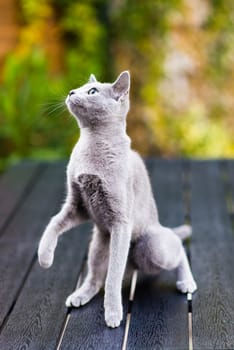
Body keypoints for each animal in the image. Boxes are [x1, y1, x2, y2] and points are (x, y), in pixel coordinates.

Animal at [37, 70, 197, 328]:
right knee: (94, 275)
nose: (71, 92)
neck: (91, 145)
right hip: (98, 241)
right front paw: (44, 257)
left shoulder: (121, 221)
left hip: (152, 247)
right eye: (79, 87)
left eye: (92, 91)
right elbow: (53, 223)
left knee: (177, 246)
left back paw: (186, 282)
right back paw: (80, 295)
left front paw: (112, 313)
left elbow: (113, 276)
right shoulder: (76, 205)